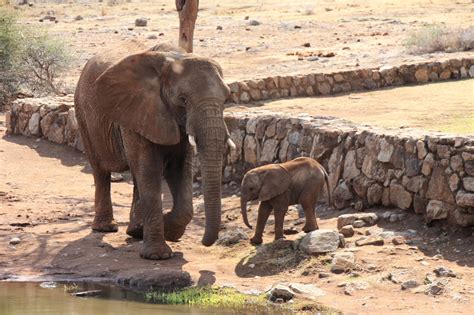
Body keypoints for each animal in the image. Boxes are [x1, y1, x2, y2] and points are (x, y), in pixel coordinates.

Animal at [73, 40, 233, 260]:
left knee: (134, 174)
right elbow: (149, 169)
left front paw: (169, 232)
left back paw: (135, 230)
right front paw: (157, 255)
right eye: (182, 99)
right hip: (83, 113)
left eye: (226, 99)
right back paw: (105, 228)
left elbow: (179, 170)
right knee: (101, 170)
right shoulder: (138, 110)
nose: (205, 241)